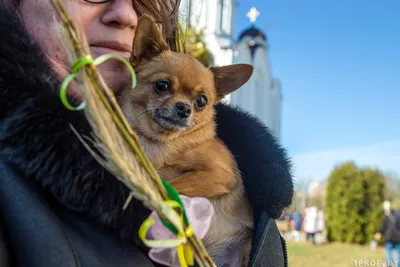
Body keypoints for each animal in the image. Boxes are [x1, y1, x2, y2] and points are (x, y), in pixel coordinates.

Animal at [120, 15, 255, 266]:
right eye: (161, 85)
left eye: (202, 101)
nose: (184, 108)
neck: (160, 142)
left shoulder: (219, 174)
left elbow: (173, 185)